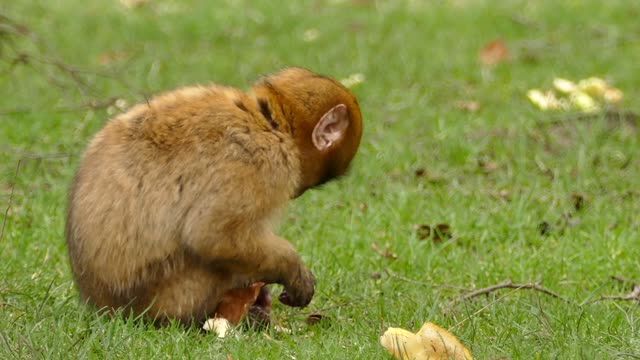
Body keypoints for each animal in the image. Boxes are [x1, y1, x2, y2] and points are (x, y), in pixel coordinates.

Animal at [65, 67, 364, 326]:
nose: (298, 191)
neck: (268, 122)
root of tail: (104, 306)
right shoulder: (258, 163)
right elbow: (212, 236)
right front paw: (293, 269)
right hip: (171, 295)